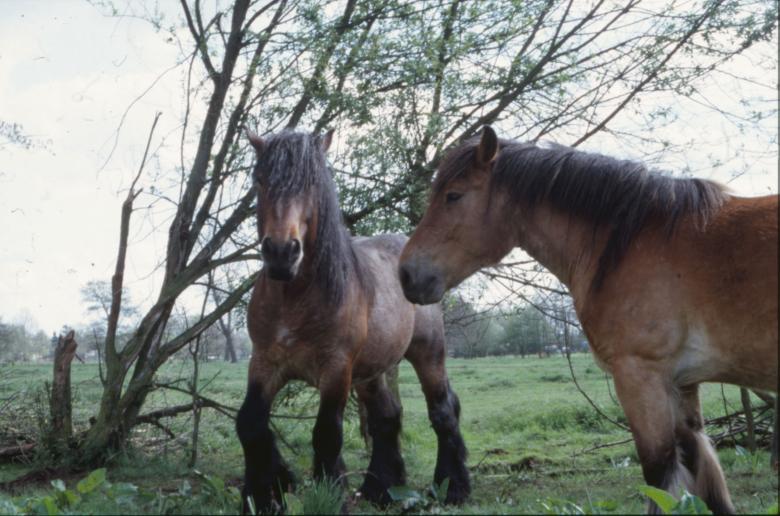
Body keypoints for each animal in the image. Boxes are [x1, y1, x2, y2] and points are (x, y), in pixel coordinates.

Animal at [235, 129, 470, 513]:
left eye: (313, 183)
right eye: (258, 179)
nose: (282, 253)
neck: (295, 297)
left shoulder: (335, 370)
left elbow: (327, 435)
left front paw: (330, 495)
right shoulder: (265, 363)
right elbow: (250, 424)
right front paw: (268, 492)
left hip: (428, 355)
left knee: (443, 411)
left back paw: (453, 487)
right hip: (371, 372)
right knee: (387, 417)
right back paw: (381, 490)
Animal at [398, 126, 778, 514]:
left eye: (453, 196)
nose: (406, 273)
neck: (629, 241)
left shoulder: (641, 378)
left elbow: (660, 475)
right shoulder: (683, 386)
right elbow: (706, 479)